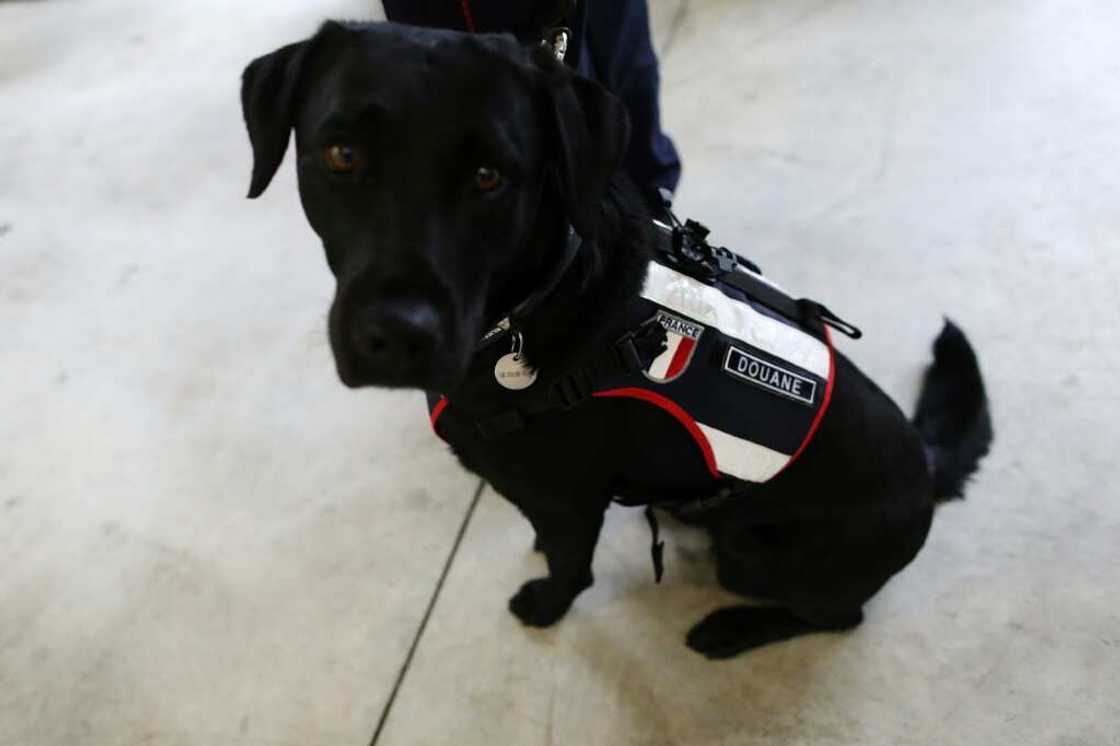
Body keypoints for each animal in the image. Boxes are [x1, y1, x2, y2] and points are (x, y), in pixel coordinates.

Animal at [243, 20, 990, 654]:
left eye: (489, 176)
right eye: (342, 155)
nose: (400, 335)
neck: (534, 300)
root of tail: (928, 468)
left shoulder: (568, 505)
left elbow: (571, 568)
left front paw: (545, 605)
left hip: (756, 556)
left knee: (838, 616)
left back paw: (729, 631)